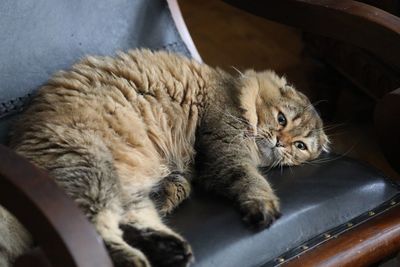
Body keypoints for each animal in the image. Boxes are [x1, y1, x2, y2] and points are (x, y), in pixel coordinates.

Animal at [6, 49, 330, 266]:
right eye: (281, 119)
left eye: (300, 146)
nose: (281, 143)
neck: (232, 91)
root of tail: (20, 147)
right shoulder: (224, 149)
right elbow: (252, 181)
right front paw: (264, 207)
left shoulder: (194, 166)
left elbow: (186, 186)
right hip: (94, 171)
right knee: (99, 227)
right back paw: (136, 258)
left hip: (119, 185)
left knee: (130, 219)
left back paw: (169, 248)